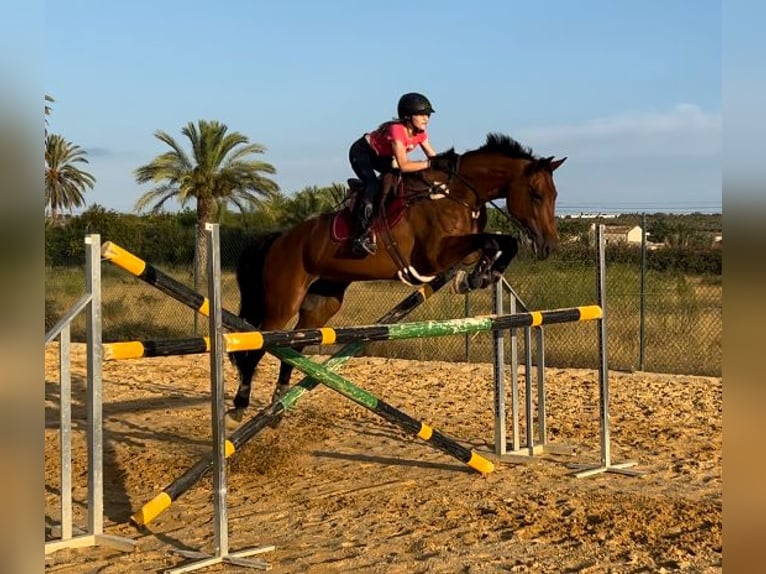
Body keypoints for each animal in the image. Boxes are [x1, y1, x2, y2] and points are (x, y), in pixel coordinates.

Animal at [229, 132, 565, 421]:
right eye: (536, 195)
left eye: (554, 195)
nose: (549, 245)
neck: (457, 193)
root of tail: (280, 238)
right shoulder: (434, 256)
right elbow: (494, 241)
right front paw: (477, 276)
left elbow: (502, 242)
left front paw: (480, 275)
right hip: (283, 300)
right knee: (260, 343)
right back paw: (240, 403)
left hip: (322, 301)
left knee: (294, 346)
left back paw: (278, 403)